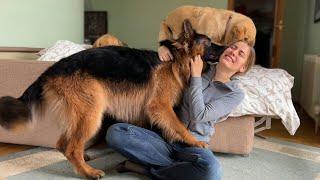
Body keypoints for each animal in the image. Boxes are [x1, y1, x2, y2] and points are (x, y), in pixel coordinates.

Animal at [0, 20, 225, 179]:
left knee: (63, 143)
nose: (227, 48)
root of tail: (53, 68)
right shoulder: (160, 106)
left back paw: (84, 160)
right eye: (208, 43)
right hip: (91, 114)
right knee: (71, 147)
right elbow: (179, 126)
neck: (175, 62)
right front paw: (194, 142)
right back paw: (88, 172)